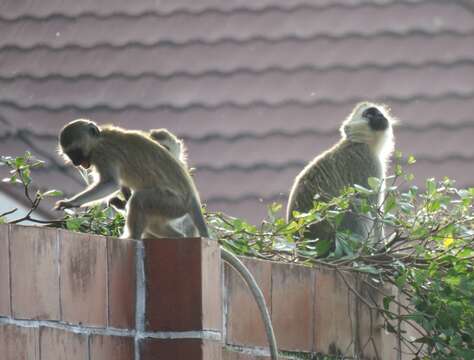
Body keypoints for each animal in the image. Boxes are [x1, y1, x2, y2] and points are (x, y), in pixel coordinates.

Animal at [56, 119, 280, 358]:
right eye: (71, 155)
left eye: (76, 152)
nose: (78, 163)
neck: (100, 138)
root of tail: (192, 198)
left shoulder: (103, 155)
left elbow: (110, 183)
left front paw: (72, 202)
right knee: (153, 220)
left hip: (171, 202)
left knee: (141, 200)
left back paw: (130, 236)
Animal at [286, 102, 394, 246]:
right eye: (369, 114)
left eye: (377, 112)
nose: (379, 116)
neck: (359, 142)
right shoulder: (368, 162)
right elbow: (373, 210)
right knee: (355, 204)